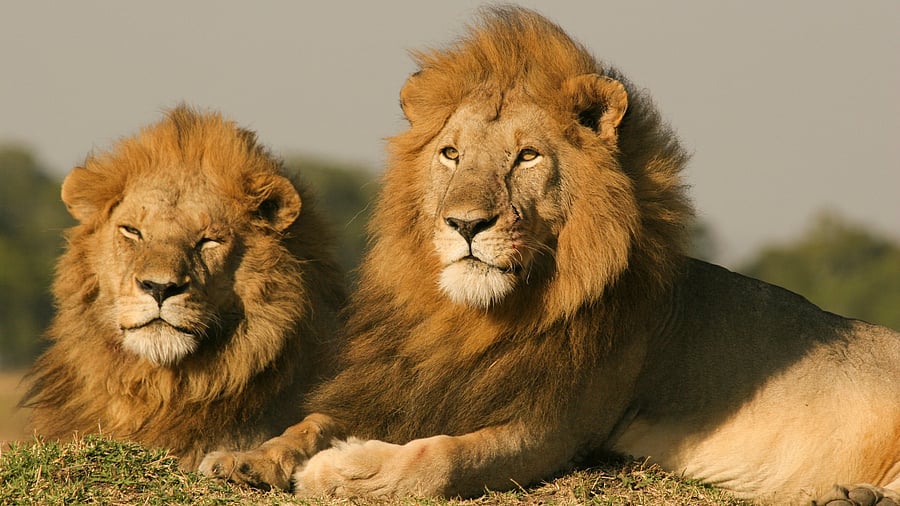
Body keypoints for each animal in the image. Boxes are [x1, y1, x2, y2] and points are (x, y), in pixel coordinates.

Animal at [200, 7, 900, 505]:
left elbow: (441, 459)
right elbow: (310, 421)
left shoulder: (556, 427)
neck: (476, 318)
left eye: (527, 157)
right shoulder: (414, 386)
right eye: (451, 154)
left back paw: (851, 494)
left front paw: (344, 470)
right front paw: (246, 457)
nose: (465, 224)